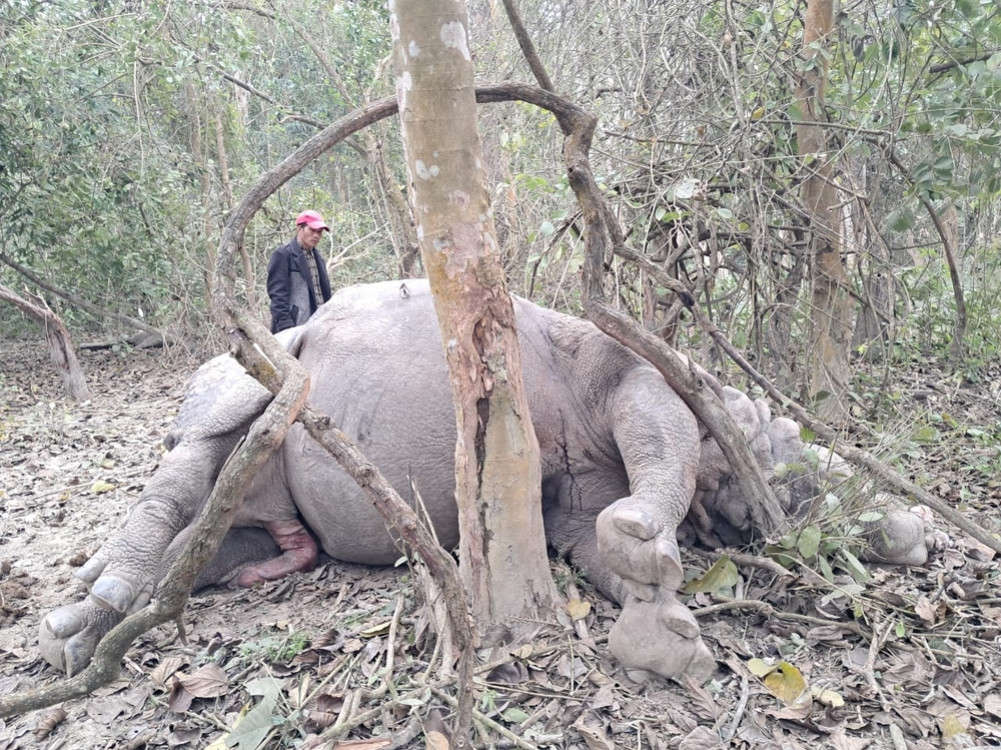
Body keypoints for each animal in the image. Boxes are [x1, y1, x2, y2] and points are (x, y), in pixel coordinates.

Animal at [38, 279, 932, 682]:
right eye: (812, 492)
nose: (913, 536)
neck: (740, 430)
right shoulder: (637, 371)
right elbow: (663, 452)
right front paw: (650, 552)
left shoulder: (571, 495)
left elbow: (596, 543)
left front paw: (659, 633)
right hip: (258, 360)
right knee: (220, 418)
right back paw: (85, 622)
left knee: (231, 524)